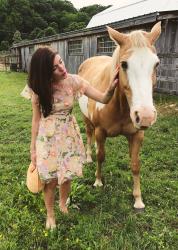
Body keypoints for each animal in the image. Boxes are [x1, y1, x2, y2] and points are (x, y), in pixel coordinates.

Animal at [78, 21, 161, 210]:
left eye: (156, 64)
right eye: (124, 64)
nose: (145, 116)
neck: (121, 108)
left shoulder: (137, 134)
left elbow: (136, 164)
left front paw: (138, 199)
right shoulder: (100, 131)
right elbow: (101, 156)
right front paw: (98, 181)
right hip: (87, 120)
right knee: (89, 135)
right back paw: (88, 157)